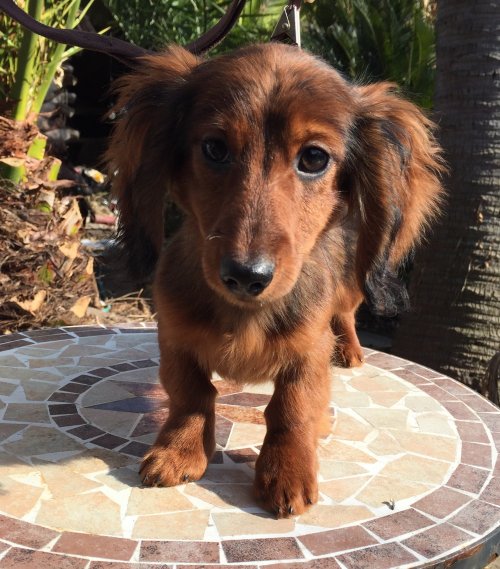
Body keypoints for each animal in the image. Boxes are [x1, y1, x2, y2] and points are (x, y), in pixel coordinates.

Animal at [106, 42, 444, 518]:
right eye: (214, 148)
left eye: (314, 158)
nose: (247, 276)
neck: (245, 312)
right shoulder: (173, 337)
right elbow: (192, 393)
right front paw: (179, 450)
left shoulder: (310, 349)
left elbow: (292, 406)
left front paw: (287, 470)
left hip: (352, 285)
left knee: (346, 317)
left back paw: (350, 351)